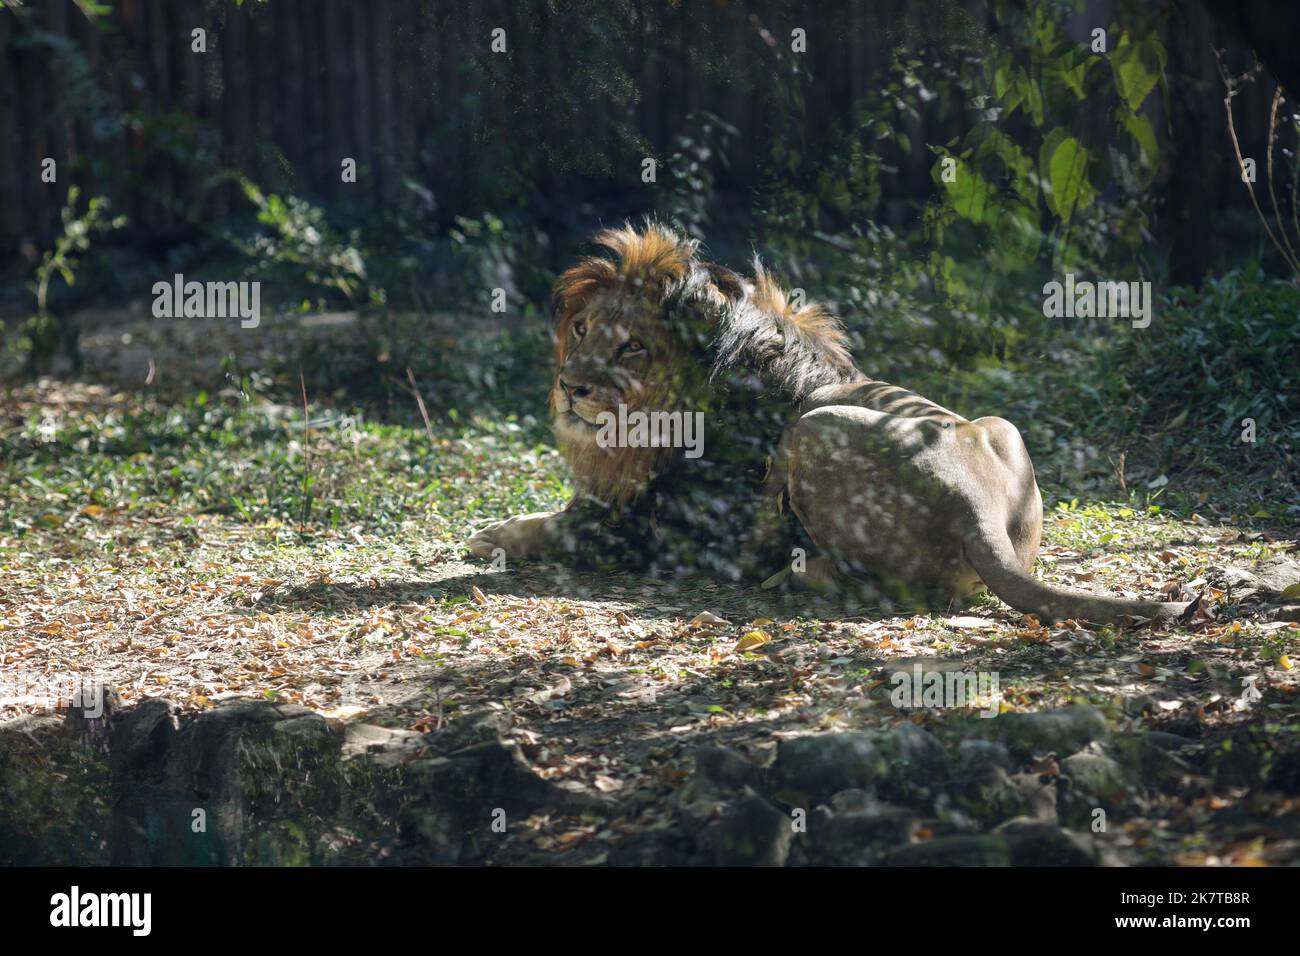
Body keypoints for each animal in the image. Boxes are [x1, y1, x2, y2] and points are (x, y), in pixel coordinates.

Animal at [467, 222, 1191, 625]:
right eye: (581, 329)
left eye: (632, 348)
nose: (570, 388)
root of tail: (978, 513)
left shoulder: (667, 530)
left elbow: (561, 525)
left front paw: (493, 536)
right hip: (1000, 425)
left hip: (813, 430)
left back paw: (794, 573)